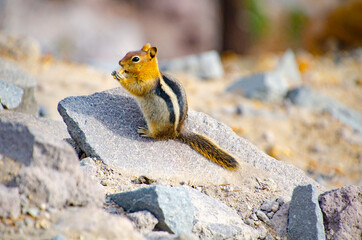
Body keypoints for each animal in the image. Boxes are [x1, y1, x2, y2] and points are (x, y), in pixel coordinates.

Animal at [111, 43, 239, 171]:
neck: (150, 72)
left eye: (135, 59)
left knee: (157, 136)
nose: (120, 62)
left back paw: (146, 131)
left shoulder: (146, 84)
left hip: (155, 125)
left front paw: (120, 77)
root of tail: (178, 131)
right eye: (128, 52)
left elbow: (135, 88)